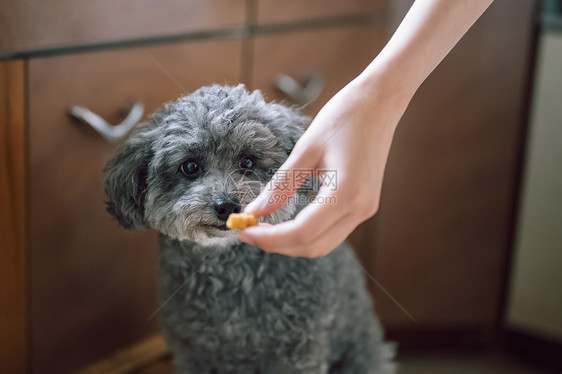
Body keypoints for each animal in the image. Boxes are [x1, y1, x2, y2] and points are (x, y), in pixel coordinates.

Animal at [104, 84, 394, 374]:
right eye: (190, 166)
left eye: (247, 162)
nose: (226, 206)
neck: (230, 271)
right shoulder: (193, 351)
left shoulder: (298, 353)